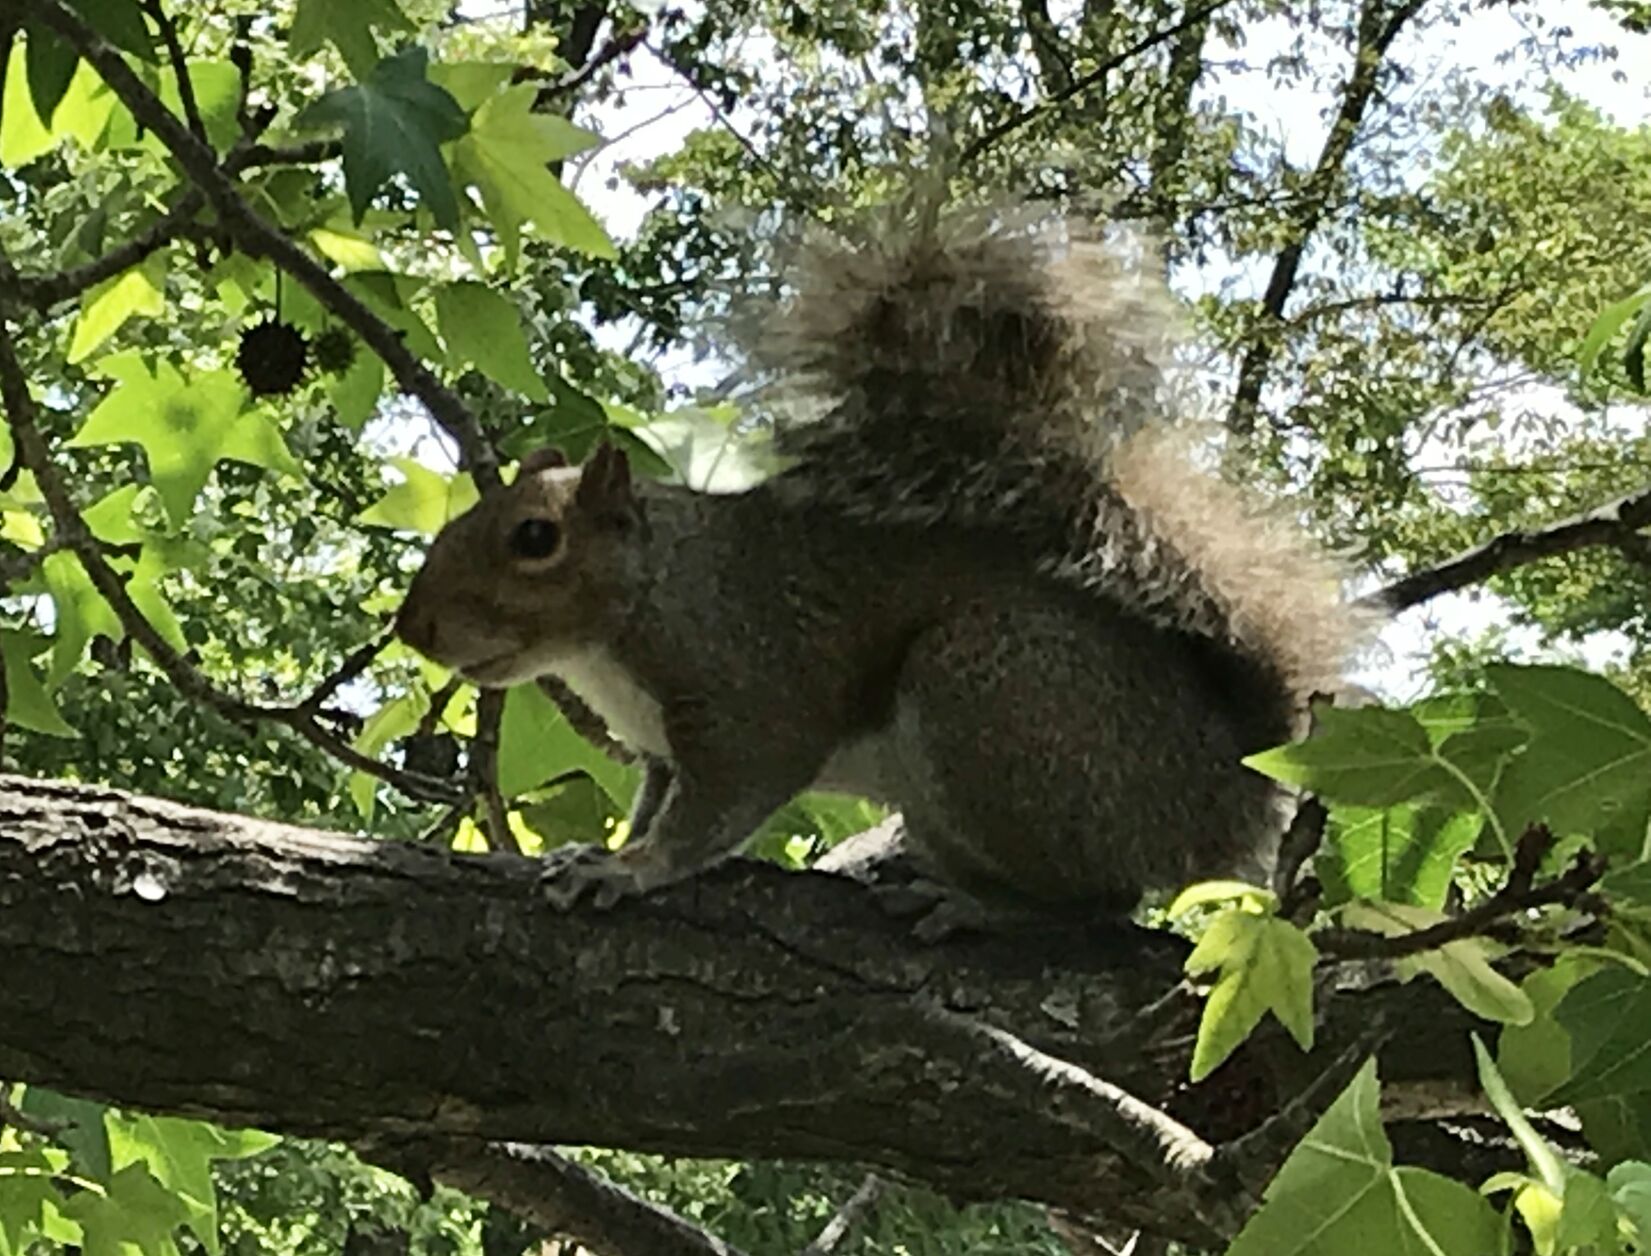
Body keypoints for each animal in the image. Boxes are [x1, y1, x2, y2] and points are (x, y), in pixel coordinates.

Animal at [389, 198, 1367, 924]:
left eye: (535, 540)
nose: (412, 626)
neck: (648, 598)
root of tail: (1225, 792)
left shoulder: (749, 687)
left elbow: (719, 807)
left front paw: (631, 870)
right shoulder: (659, 754)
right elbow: (653, 802)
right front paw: (602, 847)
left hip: (993, 694)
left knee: (1105, 903)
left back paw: (987, 912)